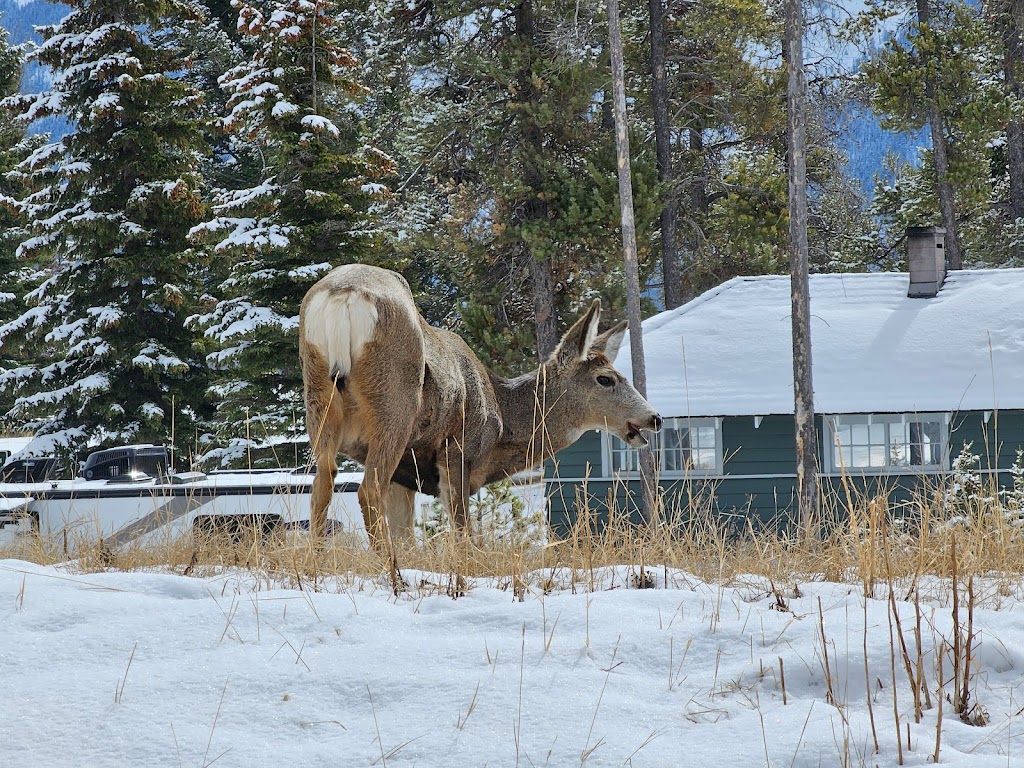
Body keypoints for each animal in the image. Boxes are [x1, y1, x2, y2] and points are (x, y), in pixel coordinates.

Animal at [299, 264, 663, 565]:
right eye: (606, 379)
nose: (654, 418)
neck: (501, 420)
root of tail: (343, 295)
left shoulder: (406, 473)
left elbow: (408, 533)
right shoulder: (458, 451)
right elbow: (463, 532)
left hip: (318, 397)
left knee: (322, 484)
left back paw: (317, 562)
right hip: (395, 404)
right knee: (366, 488)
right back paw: (390, 569)